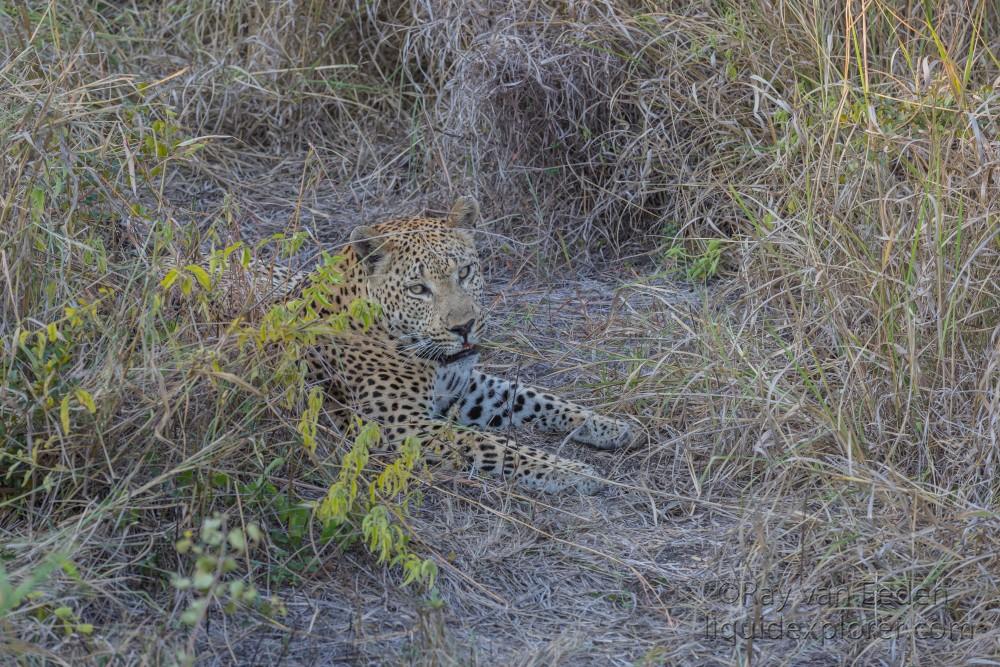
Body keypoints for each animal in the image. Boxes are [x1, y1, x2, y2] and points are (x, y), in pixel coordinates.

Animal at [242, 196, 636, 494]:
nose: (464, 327)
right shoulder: (404, 428)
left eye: (464, 272)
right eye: (418, 289)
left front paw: (606, 425)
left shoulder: (464, 387)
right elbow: (493, 444)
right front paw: (573, 471)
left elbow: (533, 396)